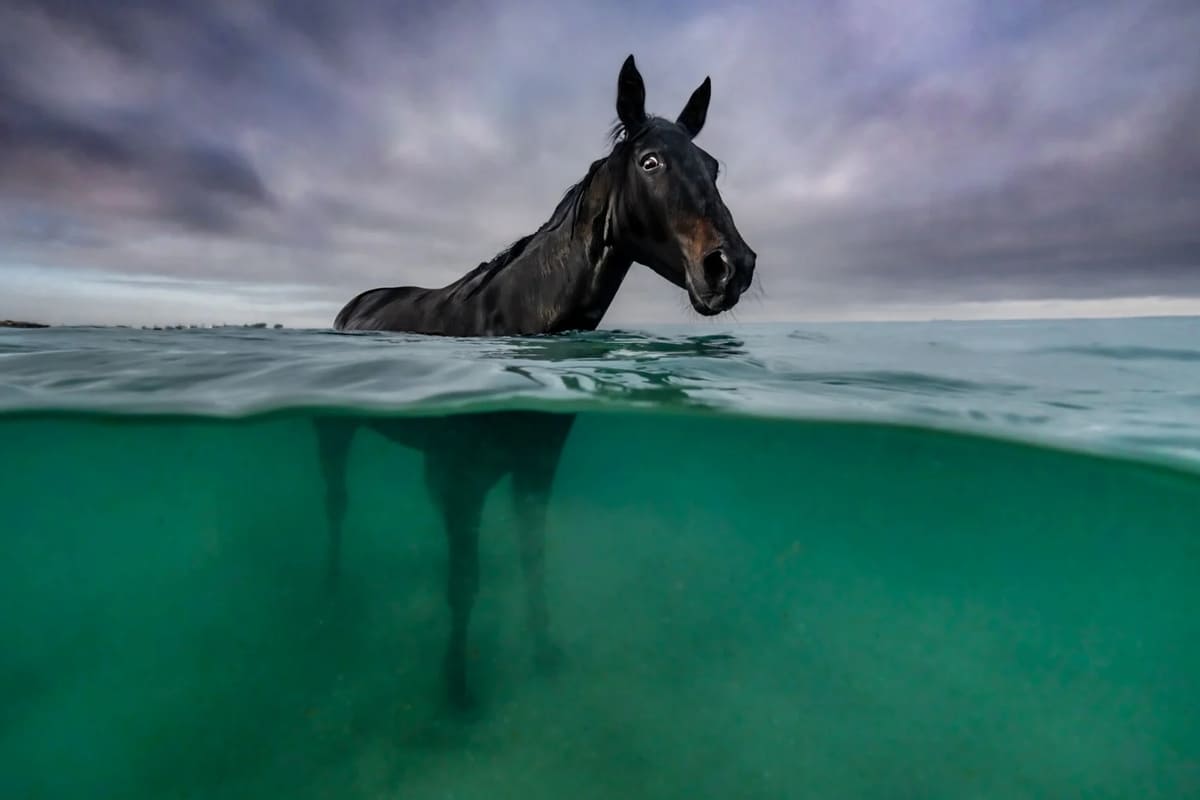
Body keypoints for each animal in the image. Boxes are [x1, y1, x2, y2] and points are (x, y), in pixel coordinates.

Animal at [316, 55, 757, 710]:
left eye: (715, 166)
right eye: (651, 162)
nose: (731, 267)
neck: (511, 317)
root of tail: (352, 307)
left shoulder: (534, 469)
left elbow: (533, 558)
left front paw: (545, 652)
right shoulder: (461, 480)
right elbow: (464, 580)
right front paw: (457, 687)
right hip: (335, 430)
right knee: (337, 503)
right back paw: (335, 588)